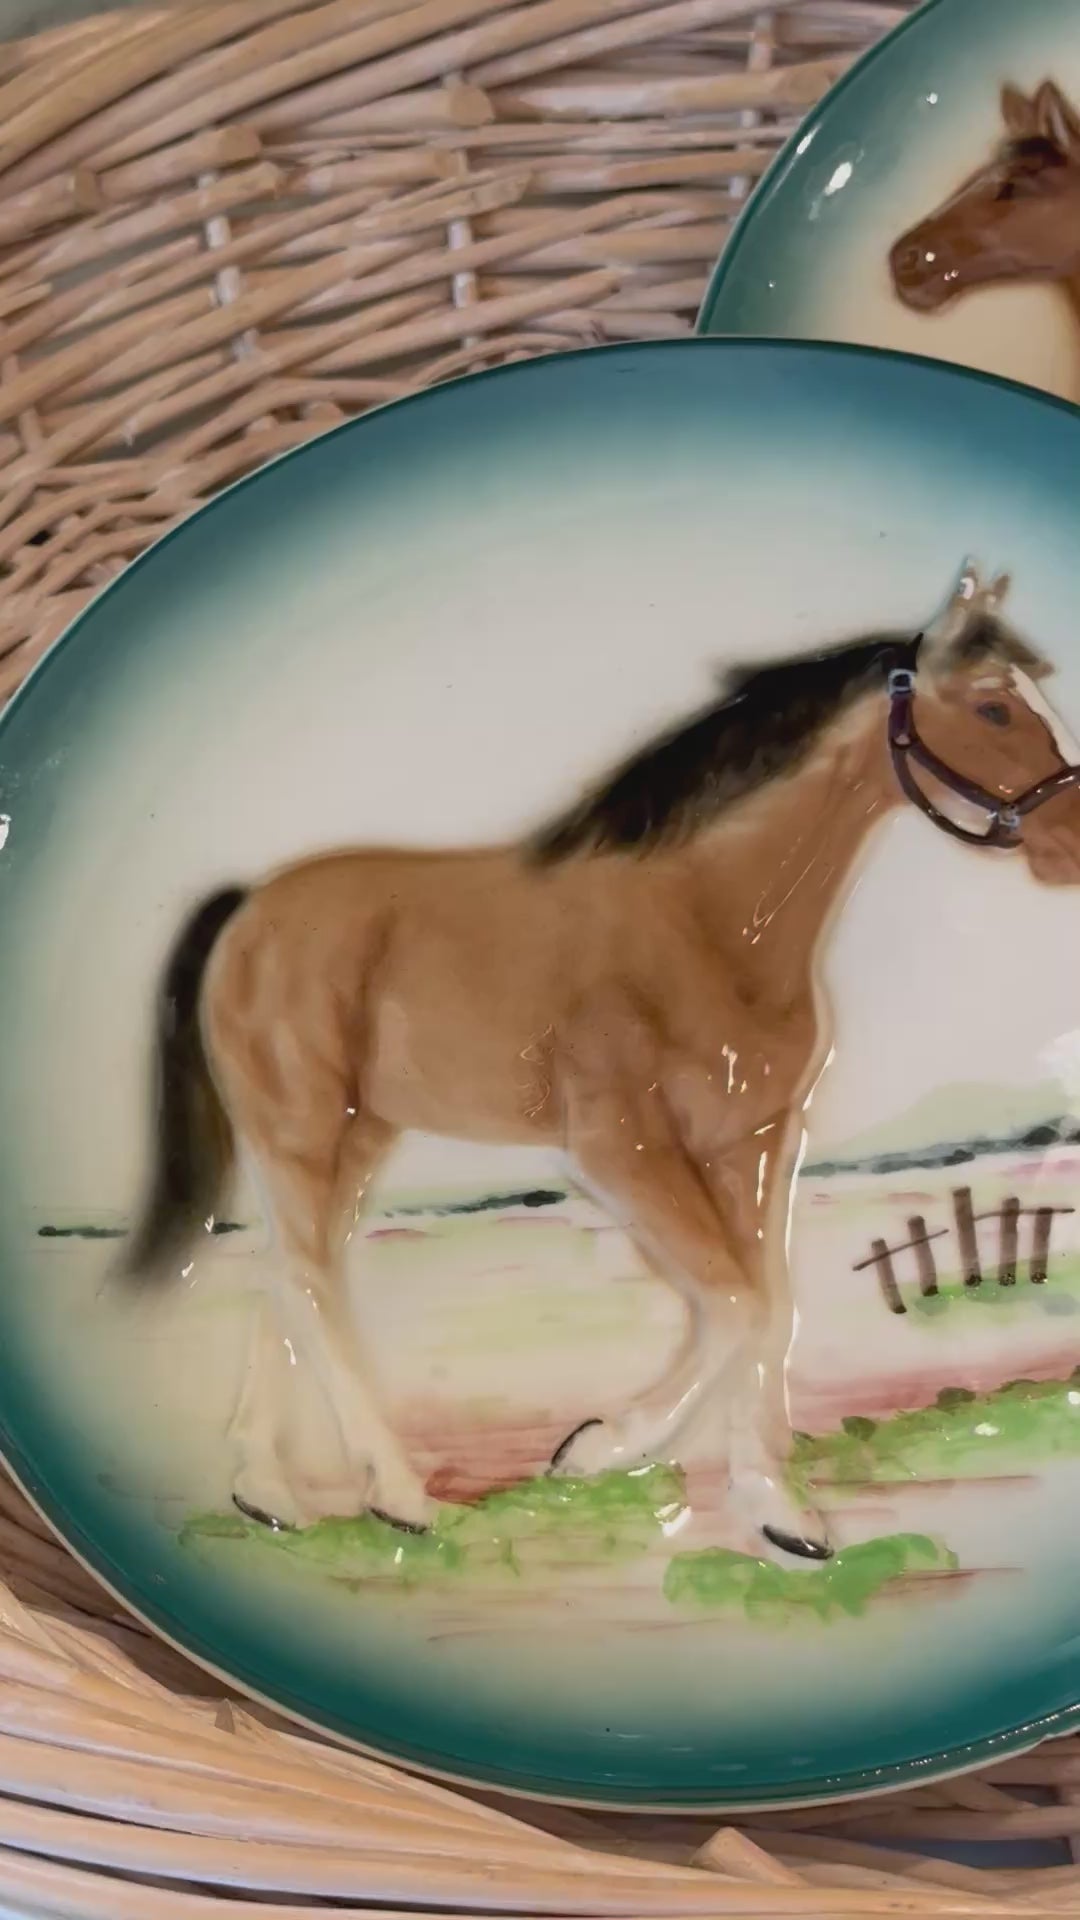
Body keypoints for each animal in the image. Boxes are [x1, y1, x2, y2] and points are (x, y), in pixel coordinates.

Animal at [122, 564, 1080, 1562]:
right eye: (995, 706)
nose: (1074, 846)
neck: (712, 923)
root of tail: (247, 910)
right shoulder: (624, 1152)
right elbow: (736, 1303)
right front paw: (594, 1448)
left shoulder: (756, 1140)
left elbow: (769, 1306)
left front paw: (780, 1514)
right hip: (300, 1129)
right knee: (307, 1284)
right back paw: (401, 1497)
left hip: (357, 1137)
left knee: (283, 1273)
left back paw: (267, 1491)